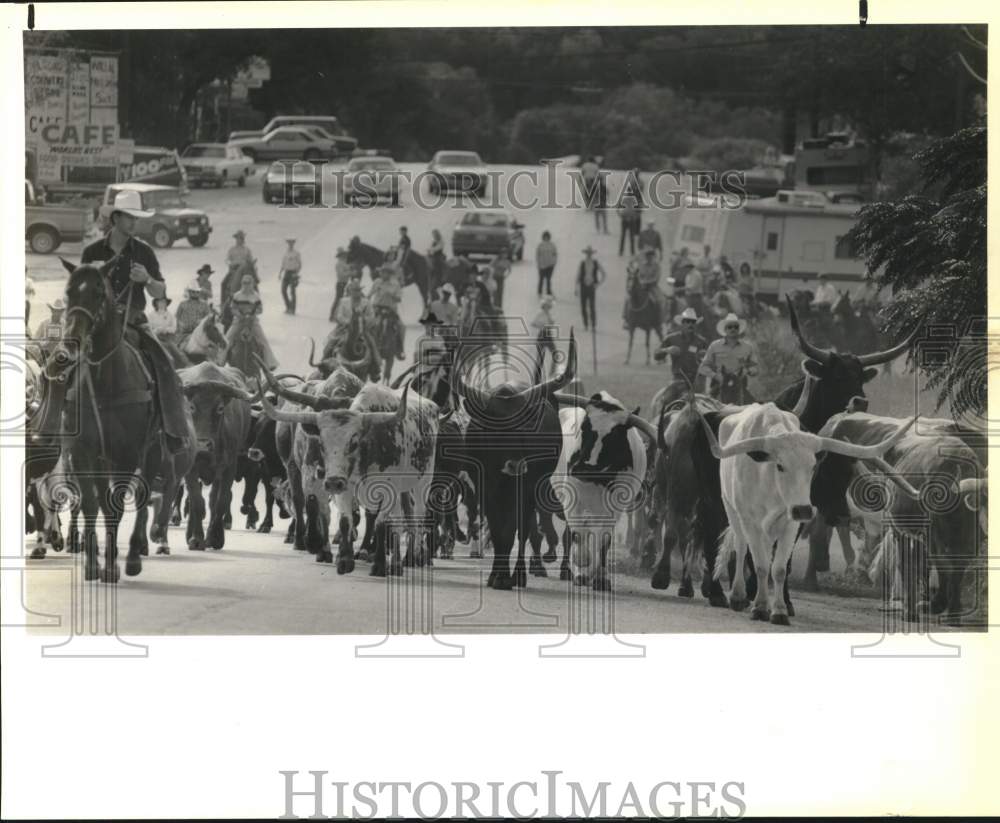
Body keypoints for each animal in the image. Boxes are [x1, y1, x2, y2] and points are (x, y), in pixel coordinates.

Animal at [45, 260, 160, 584]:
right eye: (69, 291)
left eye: (98, 293)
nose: (69, 348)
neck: (106, 380)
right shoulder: (82, 452)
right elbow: (90, 504)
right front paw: (92, 565)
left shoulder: (127, 453)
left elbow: (116, 505)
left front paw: (111, 566)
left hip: (151, 452)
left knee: (144, 495)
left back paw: (133, 556)